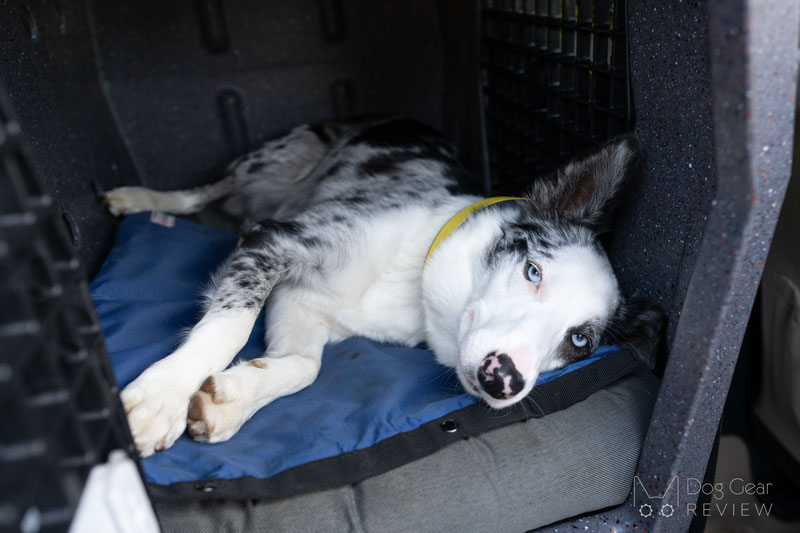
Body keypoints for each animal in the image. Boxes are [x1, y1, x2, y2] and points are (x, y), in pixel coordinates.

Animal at [103, 117, 660, 458]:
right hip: (276, 156)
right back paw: (142, 198)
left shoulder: (299, 302)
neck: (416, 282)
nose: (504, 378)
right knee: (203, 192)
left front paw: (232, 398)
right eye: (533, 272)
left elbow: (304, 367)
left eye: (580, 341)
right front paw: (163, 397)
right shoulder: (276, 239)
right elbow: (231, 327)